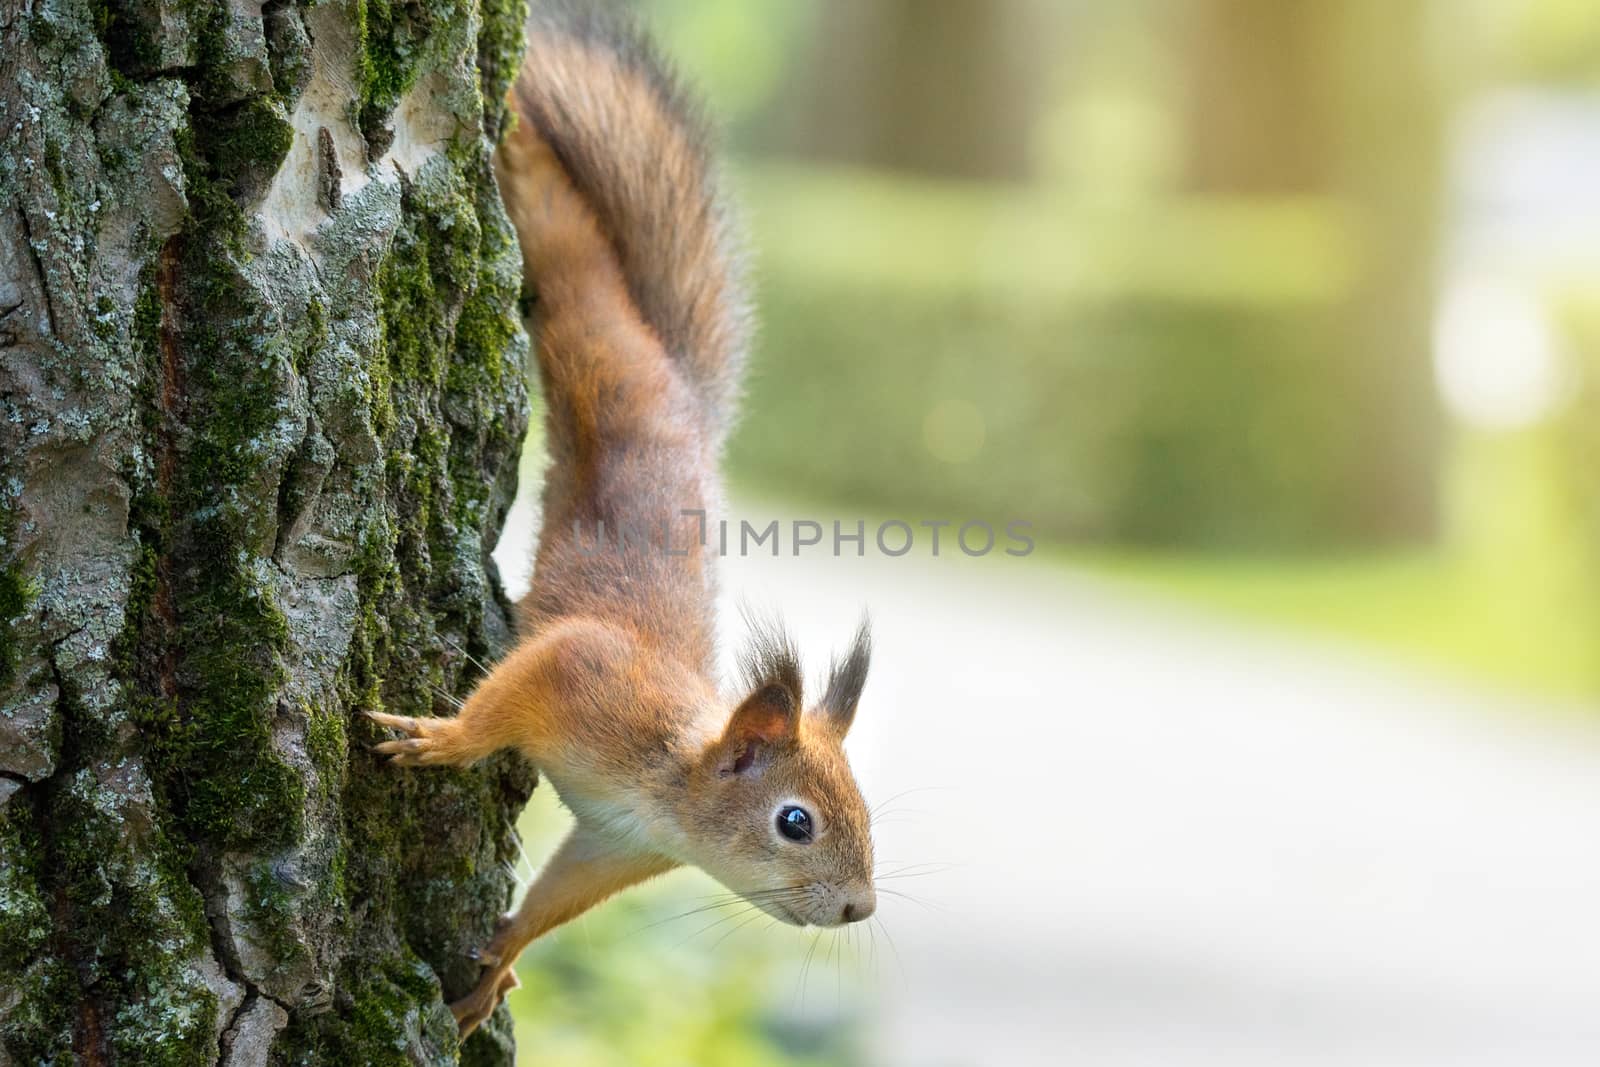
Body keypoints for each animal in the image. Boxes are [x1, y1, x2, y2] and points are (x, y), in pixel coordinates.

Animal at [366, 0, 876, 1036]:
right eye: (795, 821)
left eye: (870, 812)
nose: (861, 906)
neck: (667, 786)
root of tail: (682, 393)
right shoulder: (586, 677)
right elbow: (518, 688)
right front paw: (445, 741)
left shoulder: (611, 846)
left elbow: (552, 897)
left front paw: (498, 963)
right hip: (591, 335)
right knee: (573, 255)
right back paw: (521, 148)